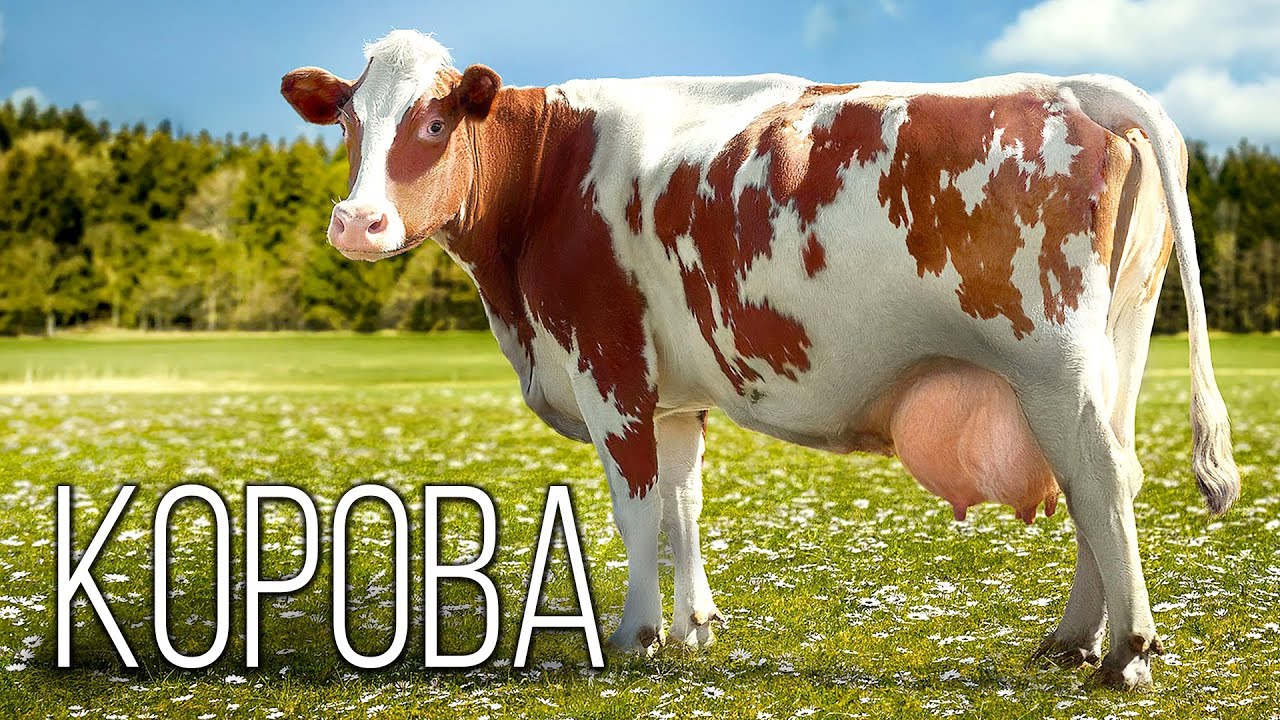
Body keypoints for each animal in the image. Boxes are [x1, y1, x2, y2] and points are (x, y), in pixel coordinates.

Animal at [282, 30, 1240, 689]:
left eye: (435, 121)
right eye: (346, 120)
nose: (356, 223)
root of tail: (1074, 85)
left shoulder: (608, 363)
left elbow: (636, 508)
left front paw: (632, 636)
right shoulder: (672, 396)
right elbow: (682, 503)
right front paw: (694, 628)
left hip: (1052, 362)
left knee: (1099, 478)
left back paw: (1124, 650)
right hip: (1113, 348)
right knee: (1104, 475)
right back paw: (1074, 638)